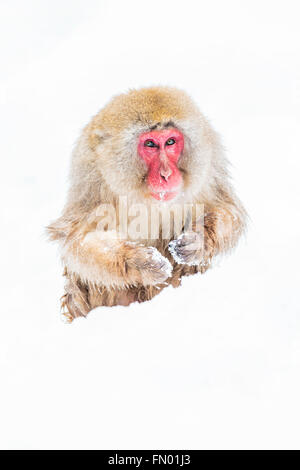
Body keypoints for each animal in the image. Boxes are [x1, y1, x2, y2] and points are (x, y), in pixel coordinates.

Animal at [48, 86, 247, 322]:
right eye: (150, 144)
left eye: (170, 142)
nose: (166, 174)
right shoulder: (90, 179)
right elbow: (76, 239)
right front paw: (139, 262)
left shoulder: (211, 166)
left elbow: (228, 210)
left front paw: (199, 239)